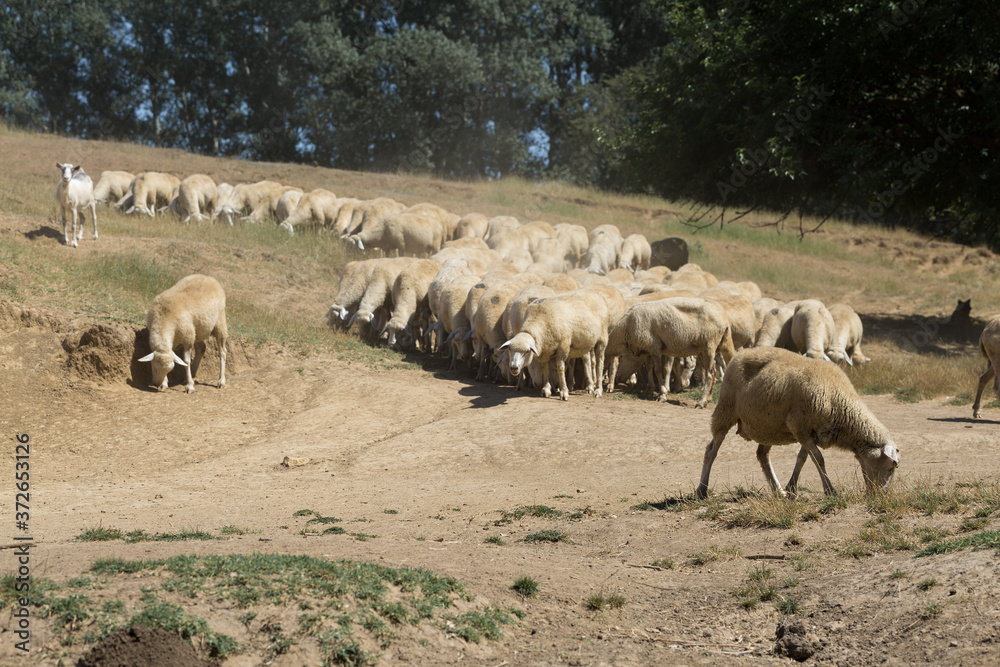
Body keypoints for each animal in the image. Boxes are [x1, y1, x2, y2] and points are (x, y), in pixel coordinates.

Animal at [605, 297, 735, 407]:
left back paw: (701, 402)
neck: (625, 330)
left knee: (710, 373)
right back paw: (709, 399)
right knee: (715, 370)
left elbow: (658, 371)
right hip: (713, 347)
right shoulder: (648, 349)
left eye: (621, 360)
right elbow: (649, 369)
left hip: (709, 345)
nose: (618, 379)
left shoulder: (655, 347)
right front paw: (650, 390)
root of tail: (724, 319)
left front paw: (662, 395)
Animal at [696, 347, 900, 499]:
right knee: (711, 450)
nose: (882, 496)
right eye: (891, 466)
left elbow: (803, 458)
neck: (839, 401)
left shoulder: (809, 432)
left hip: (767, 426)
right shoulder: (799, 426)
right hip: (726, 410)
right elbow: (819, 459)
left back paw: (778, 490)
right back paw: (702, 489)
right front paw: (830, 491)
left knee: (762, 455)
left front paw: (792, 488)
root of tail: (742, 352)